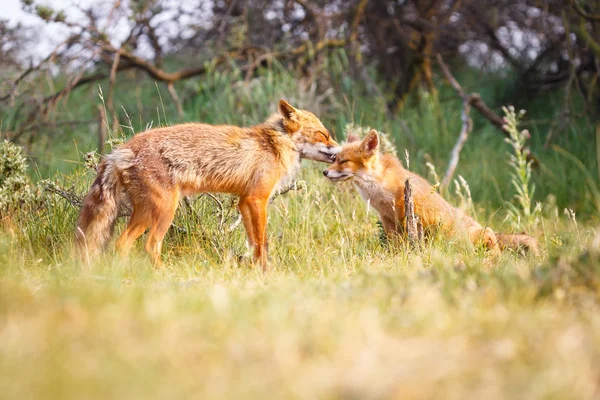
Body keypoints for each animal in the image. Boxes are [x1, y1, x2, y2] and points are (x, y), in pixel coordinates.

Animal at [75, 99, 340, 268]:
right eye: (323, 135)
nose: (340, 152)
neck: (274, 145)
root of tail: (122, 150)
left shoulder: (244, 201)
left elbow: (254, 243)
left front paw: (257, 270)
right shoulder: (258, 199)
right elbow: (262, 242)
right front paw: (267, 273)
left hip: (144, 212)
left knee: (121, 243)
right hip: (164, 210)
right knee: (150, 245)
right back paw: (164, 276)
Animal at [324, 131, 540, 256]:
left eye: (343, 161)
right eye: (334, 159)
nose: (325, 172)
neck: (378, 187)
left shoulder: (405, 212)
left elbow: (407, 238)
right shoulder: (386, 218)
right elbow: (394, 243)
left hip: (472, 235)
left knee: (491, 243)